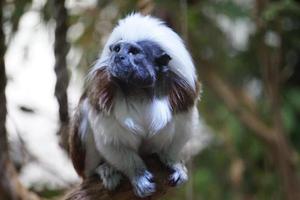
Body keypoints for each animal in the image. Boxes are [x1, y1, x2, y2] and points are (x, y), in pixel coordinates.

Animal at [69, 13, 203, 198]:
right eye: (117, 49)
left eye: (133, 51)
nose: (118, 57)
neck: (139, 90)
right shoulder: (102, 95)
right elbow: (113, 143)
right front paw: (138, 175)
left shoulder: (183, 97)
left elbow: (181, 133)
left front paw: (173, 162)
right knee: (84, 112)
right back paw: (104, 169)